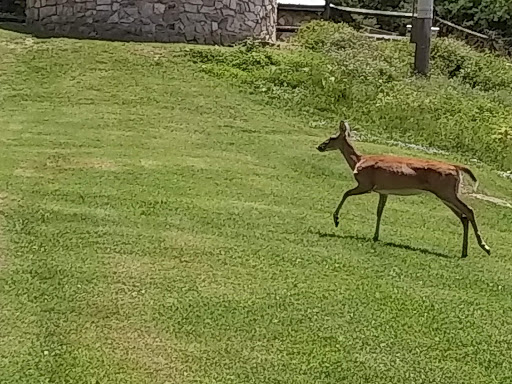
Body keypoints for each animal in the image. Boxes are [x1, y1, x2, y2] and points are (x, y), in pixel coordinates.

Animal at [316, 120, 492, 258]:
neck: (358, 160)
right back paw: (464, 251)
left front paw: (336, 219)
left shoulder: (366, 184)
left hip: (446, 192)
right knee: (463, 216)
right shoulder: (383, 191)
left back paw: (485, 247)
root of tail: (456, 167)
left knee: (468, 210)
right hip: (446, 194)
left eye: (332, 137)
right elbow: (379, 212)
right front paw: (375, 236)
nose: (319, 146)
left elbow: (345, 193)